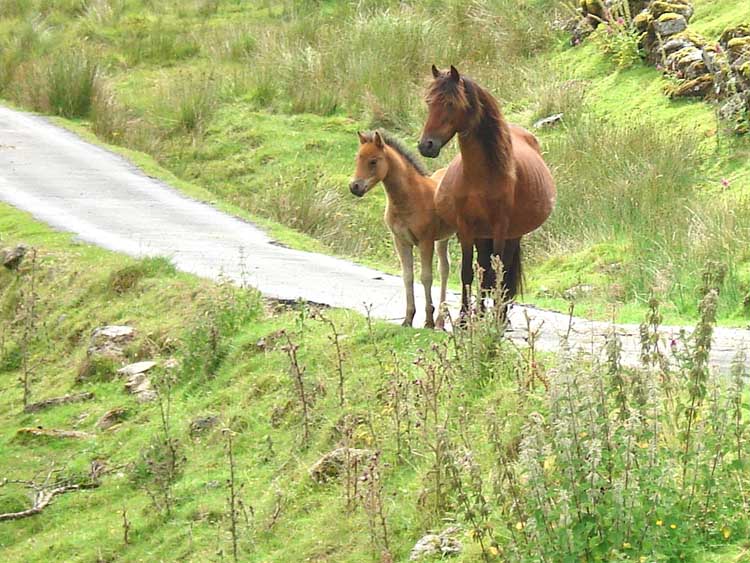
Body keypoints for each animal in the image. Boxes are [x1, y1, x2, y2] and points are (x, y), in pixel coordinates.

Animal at [352, 130, 456, 328]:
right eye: (357, 158)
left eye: (373, 161)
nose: (354, 187)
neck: (411, 197)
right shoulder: (400, 241)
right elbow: (408, 276)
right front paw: (408, 319)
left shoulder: (425, 241)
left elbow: (426, 277)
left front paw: (428, 321)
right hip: (443, 238)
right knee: (445, 269)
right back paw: (441, 321)